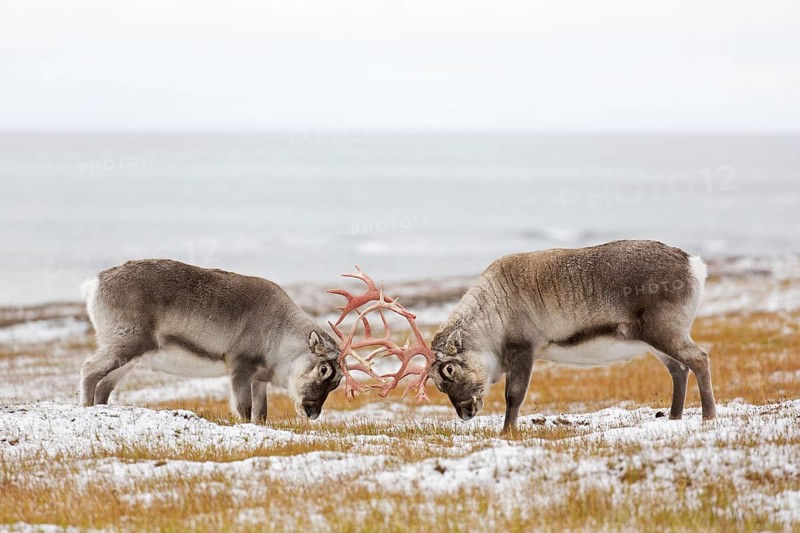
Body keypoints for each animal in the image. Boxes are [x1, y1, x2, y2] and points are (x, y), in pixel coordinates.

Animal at [79, 259, 343, 423]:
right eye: (323, 369)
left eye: (338, 381)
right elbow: (244, 409)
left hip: (130, 357)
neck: (279, 332)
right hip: (124, 344)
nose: (313, 412)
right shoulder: (240, 366)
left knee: (104, 386)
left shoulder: (259, 379)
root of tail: (95, 283)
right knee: (88, 369)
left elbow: (261, 413)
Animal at [427, 240, 716, 434]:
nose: (465, 412)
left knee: (699, 358)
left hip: (666, 332)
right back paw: (674, 417)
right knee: (679, 369)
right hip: (655, 342)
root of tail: (694, 265)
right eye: (438, 386)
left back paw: (708, 417)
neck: (491, 315)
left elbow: (514, 396)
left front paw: (507, 433)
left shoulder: (524, 350)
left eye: (449, 369)